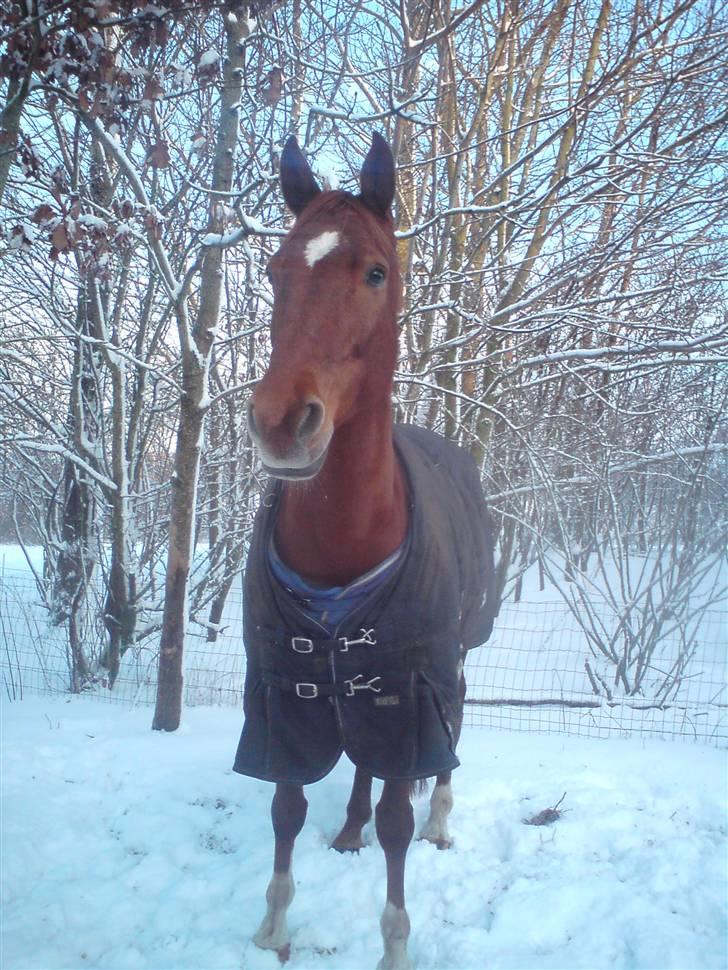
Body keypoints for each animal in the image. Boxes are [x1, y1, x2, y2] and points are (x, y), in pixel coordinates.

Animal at [233, 130, 494, 968]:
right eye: (275, 270)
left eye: (375, 272)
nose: (281, 422)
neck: (344, 540)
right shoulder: (286, 687)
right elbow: (286, 806)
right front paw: (274, 927)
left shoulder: (407, 687)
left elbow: (397, 820)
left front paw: (395, 944)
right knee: (360, 767)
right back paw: (347, 828)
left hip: (454, 656)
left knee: (443, 736)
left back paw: (440, 816)